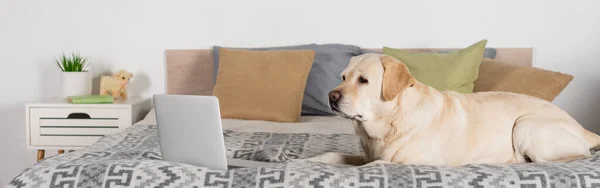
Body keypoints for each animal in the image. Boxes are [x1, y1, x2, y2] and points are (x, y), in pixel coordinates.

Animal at [310, 53, 600, 166]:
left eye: (363, 80)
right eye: (343, 77)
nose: (331, 96)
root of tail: (583, 128)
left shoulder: (408, 161)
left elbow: (372, 165)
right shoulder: (366, 154)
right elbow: (336, 155)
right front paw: (311, 160)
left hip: (526, 125)